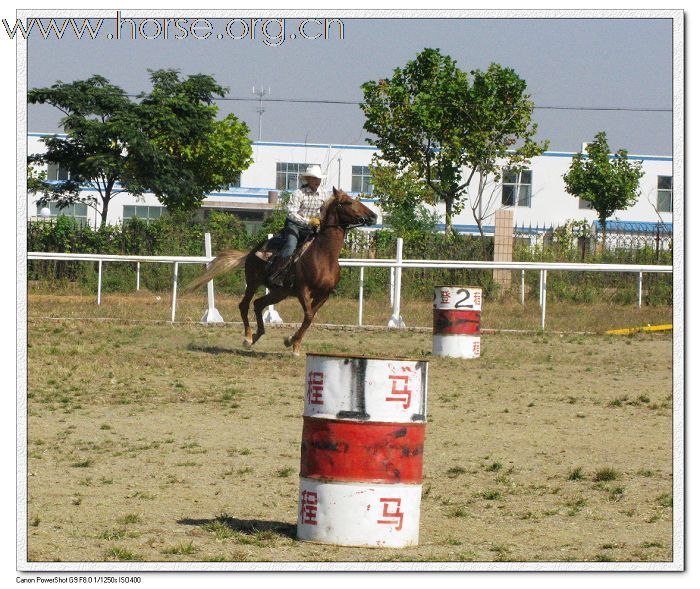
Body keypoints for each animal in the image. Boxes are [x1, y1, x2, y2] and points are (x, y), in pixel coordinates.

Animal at [183, 187, 374, 354]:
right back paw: (248, 338)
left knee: (258, 304)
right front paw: (293, 343)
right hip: (253, 282)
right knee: (244, 305)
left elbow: (310, 317)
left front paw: (292, 342)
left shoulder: (324, 294)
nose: (373, 216)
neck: (324, 256)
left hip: (279, 292)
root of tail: (251, 252)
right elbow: (309, 315)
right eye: (348, 202)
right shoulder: (303, 289)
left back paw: (257, 335)